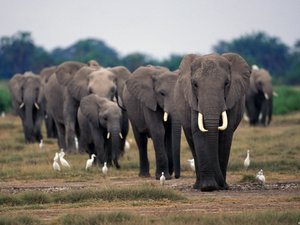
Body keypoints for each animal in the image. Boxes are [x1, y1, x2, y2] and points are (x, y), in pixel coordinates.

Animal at [175, 53, 252, 192]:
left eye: (226, 83)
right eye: (195, 84)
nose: (223, 185)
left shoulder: (231, 99)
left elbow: (225, 135)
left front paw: (220, 187)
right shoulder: (194, 100)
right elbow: (199, 132)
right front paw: (208, 187)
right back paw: (197, 186)